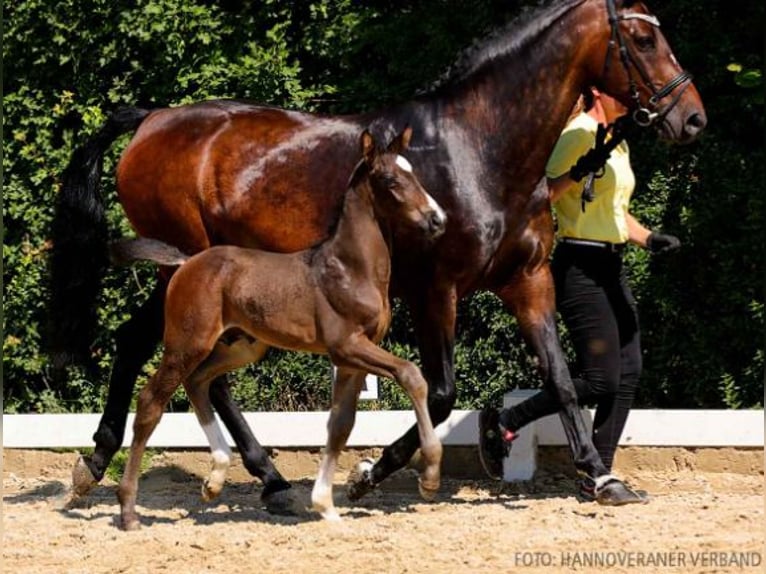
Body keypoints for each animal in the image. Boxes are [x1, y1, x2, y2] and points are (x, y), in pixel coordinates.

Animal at [114, 128, 450, 528]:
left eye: (413, 172)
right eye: (390, 180)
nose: (438, 220)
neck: (351, 268)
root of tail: (186, 263)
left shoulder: (352, 359)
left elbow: (340, 425)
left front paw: (326, 506)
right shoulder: (347, 345)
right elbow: (412, 374)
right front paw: (430, 477)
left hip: (242, 345)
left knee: (198, 381)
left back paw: (215, 479)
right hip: (187, 342)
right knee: (152, 402)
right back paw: (128, 510)